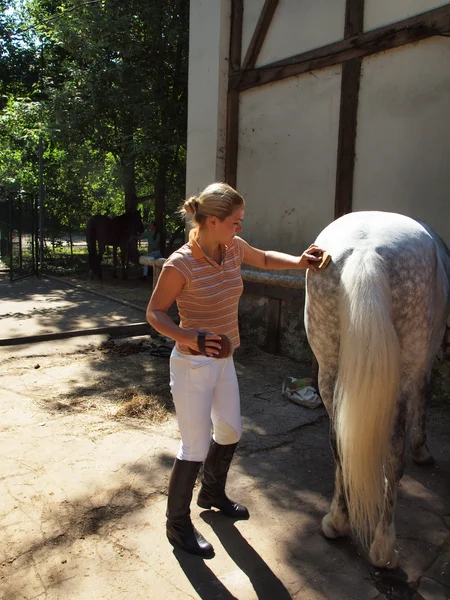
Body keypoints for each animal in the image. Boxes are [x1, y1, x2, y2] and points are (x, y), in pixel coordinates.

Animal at [306, 211, 450, 568]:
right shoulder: (424, 365)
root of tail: (366, 250)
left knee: (338, 443)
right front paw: (422, 451)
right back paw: (383, 547)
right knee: (395, 455)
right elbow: (424, 400)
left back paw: (336, 523)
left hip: (328, 370)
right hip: (404, 374)